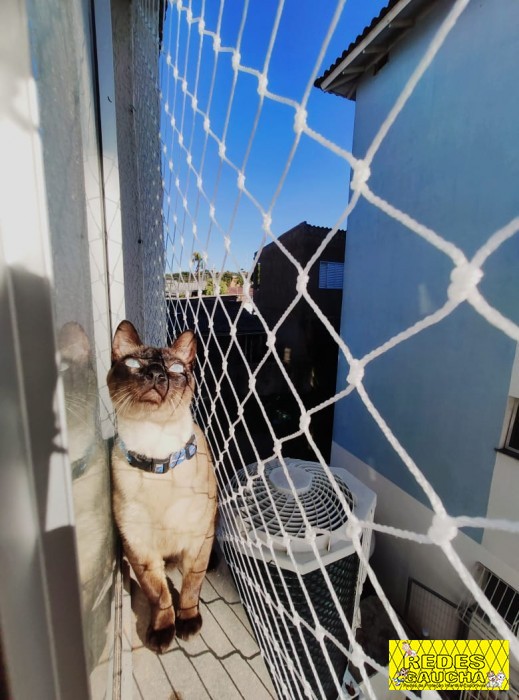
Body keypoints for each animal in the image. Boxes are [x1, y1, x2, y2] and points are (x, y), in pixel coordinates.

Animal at [107, 320, 217, 653]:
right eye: (134, 364)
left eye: (175, 368)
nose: (157, 375)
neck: (157, 461)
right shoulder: (141, 549)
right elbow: (159, 596)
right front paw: (163, 632)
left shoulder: (198, 541)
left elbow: (191, 587)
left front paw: (188, 624)